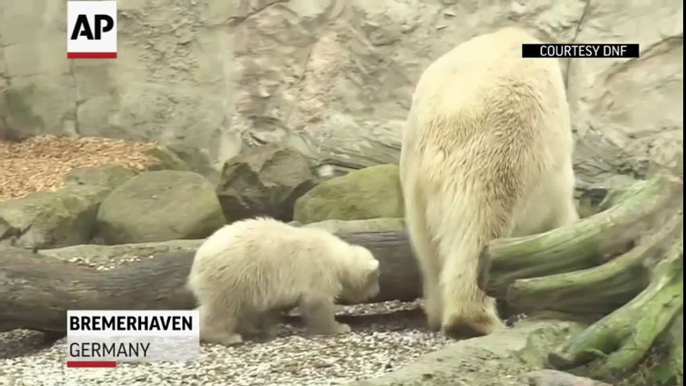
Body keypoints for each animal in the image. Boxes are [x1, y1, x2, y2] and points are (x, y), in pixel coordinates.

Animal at [398, 27, 580, 338]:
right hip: (495, 148)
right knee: (480, 227)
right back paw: (475, 321)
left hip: (413, 177)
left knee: (427, 247)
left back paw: (438, 311)